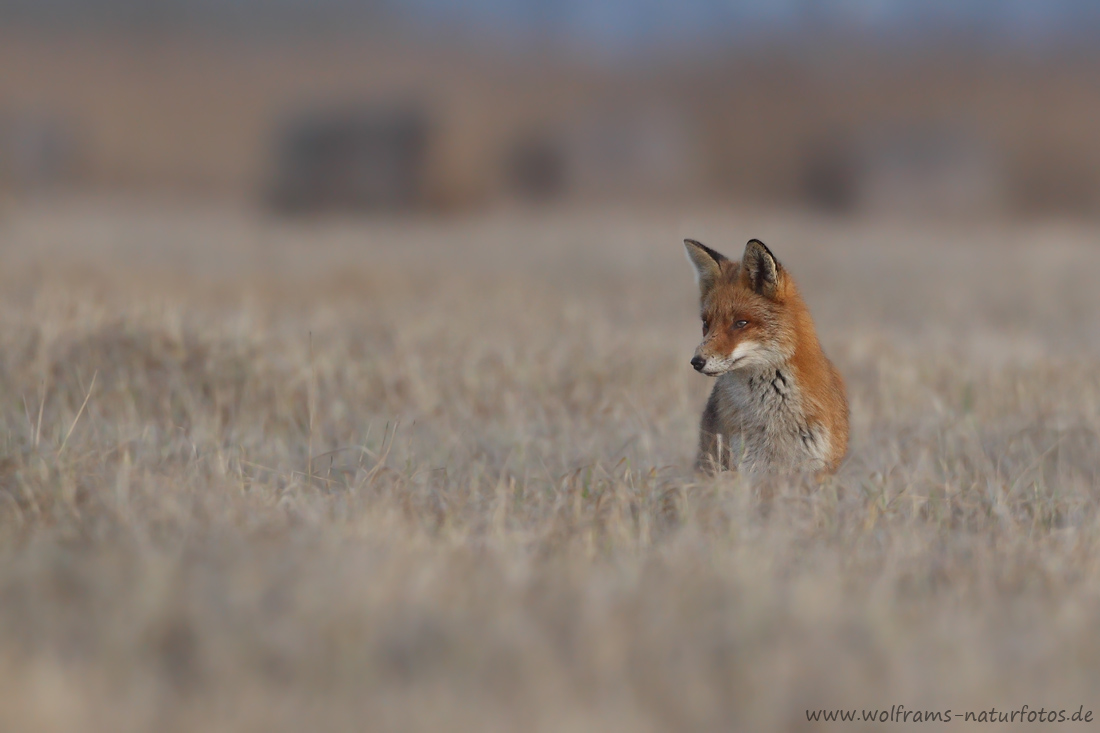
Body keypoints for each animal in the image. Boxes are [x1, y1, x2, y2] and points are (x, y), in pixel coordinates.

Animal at [677, 236, 849, 471]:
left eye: (741, 323)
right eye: (706, 324)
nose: (696, 361)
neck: (774, 418)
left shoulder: (814, 467)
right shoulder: (747, 465)